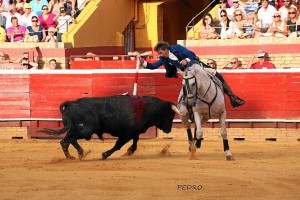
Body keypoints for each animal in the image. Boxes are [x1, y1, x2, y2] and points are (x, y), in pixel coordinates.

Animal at [40, 95, 182, 159]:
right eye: (171, 114)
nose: (169, 130)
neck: (144, 107)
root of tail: (71, 103)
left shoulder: (134, 131)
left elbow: (135, 141)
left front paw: (130, 151)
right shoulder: (126, 133)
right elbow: (118, 145)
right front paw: (105, 154)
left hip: (76, 129)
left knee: (68, 140)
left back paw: (77, 155)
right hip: (85, 130)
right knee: (67, 140)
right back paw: (77, 155)